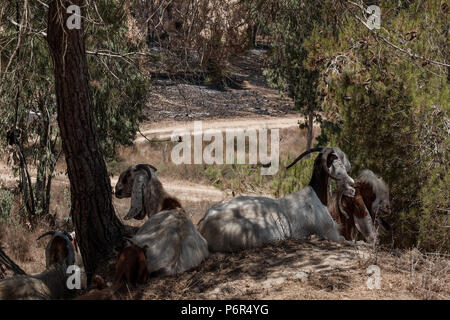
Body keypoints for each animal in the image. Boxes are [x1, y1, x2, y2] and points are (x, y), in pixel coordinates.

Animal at [198, 146, 356, 251]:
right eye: (338, 163)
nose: (352, 183)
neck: (316, 196)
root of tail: (205, 223)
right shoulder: (331, 233)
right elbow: (349, 241)